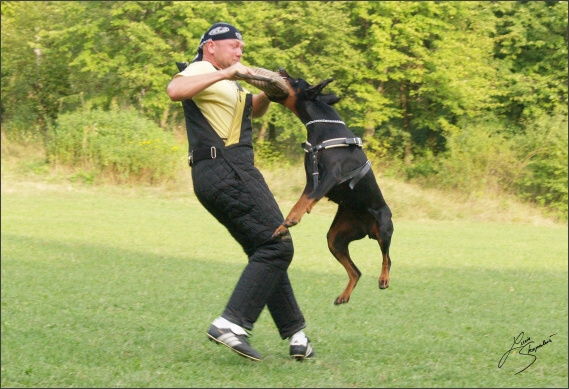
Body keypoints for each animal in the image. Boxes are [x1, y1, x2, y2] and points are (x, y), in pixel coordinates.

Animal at [268, 69, 392, 306]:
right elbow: (303, 199)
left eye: (294, 79)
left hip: (383, 227)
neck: (323, 126)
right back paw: (344, 295)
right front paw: (282, 226)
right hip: (336, 239)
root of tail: (367, 230)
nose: (280, 69)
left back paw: (383, 278)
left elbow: (304, 202)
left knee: (387, 258)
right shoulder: (312, 179)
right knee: (356, 271)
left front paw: (290, 221)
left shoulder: (331, 175)